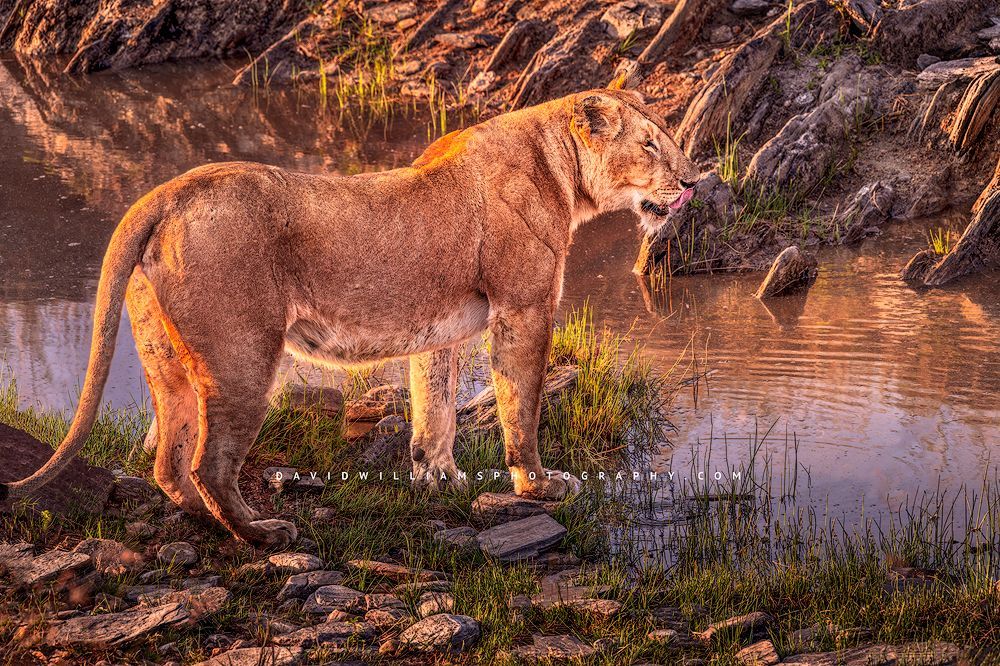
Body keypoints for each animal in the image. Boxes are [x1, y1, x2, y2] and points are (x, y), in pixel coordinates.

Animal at [2, 80, 701, 548]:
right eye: (650, 145)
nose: (694, 181)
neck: (561, 171)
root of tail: (168, 192)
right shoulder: (523, 310)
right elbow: (520, 407)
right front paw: (538, 486)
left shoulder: (439, 330)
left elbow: (434, 408)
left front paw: (438, 478)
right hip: (243, 357)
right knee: (207, 462)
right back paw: (263, 534)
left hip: (167, 357)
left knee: (169, 463)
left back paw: (212, 522)